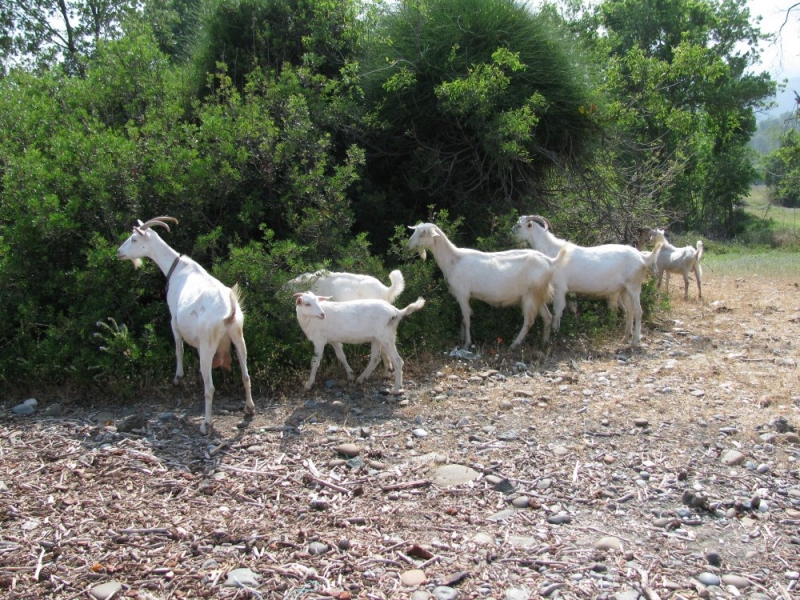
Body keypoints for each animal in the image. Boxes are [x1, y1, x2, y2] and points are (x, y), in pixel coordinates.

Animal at [115, 218, 253, 434]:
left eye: (134, 239)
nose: (119, 252)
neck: (177, 268)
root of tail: (229, 312)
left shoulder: (173, 319)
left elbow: (178, 348)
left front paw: (178, 377)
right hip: (238, 336)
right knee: (246, 375)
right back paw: (249, 408)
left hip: (208, 344)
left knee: (210, 387)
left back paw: (206, 424)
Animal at [294, 290, 424, 394]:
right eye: (307, 304)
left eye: (317, 301)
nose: (322, 314)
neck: (309, 321)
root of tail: (396, 311)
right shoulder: (334, 340)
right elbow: (341, 357)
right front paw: (350, 375)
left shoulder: (319, 340)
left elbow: (314, 362)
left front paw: (308, 384)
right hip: (377, 338)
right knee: (375, 358)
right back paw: (362, 378)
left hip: (386, 336)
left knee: (398, 361)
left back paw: (396, 389)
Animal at [406, 223, 564, 350]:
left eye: (423, 234)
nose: (408, 246)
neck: (454, 261)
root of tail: (551, 262)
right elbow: (463, 319)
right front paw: (462, 338)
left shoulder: (463, 294)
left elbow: (466, 319)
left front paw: (467, 344)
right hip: (538, 294)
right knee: (548, 317)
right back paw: (544, 342)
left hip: (530, 294)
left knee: (529, 320)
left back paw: (514, 344)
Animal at [512, 216, 664, 346]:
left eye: (519, 226)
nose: (510, 232)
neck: (553, 252)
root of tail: (643, 258)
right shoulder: (569, 291)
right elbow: (572, 308)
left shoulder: (559, 287)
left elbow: (557, 310)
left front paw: (555, 333)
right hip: (624, 290)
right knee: (630, 311)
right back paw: (625, 338)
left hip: (634, 287)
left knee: (638, 311)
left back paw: (635, 341)